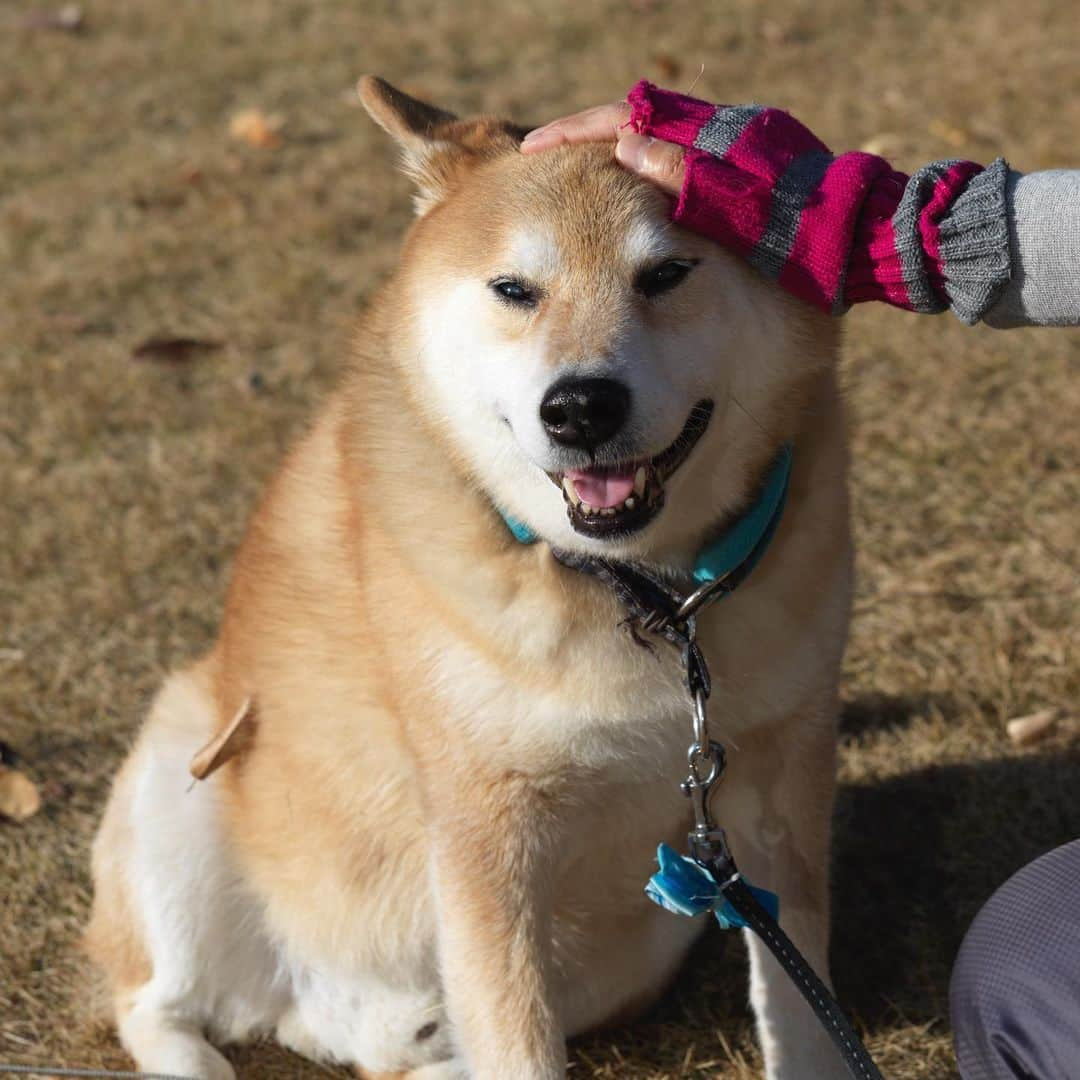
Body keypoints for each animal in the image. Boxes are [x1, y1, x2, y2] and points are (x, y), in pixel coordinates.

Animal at [86, 78, 851, 1080]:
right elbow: (518, 1041)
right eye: (514, 290)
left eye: (666, 275)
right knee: (155, 1004)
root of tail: (334, 1014)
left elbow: (802, 1012)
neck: (645, 597)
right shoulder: (487, 838)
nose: (579, 407)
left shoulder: (777, 793)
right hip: (182, 787)